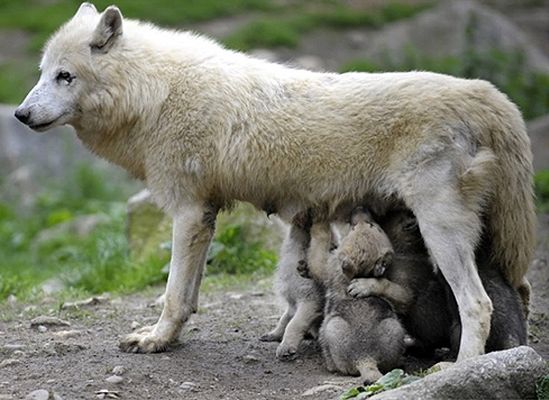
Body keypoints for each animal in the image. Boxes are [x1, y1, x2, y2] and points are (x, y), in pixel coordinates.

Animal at [15, 2, 532, 362]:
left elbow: (173, 293)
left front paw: (156, 340)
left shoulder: (187, 212)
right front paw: (171, 337)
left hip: (441, 233)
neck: (155, 93)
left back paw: (461, 366)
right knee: (519, 292)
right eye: (41, 74)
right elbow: (190, 295)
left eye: (65, 76)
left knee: (478, 304)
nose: (20, 114)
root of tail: (487, 94)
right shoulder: (206, 215)